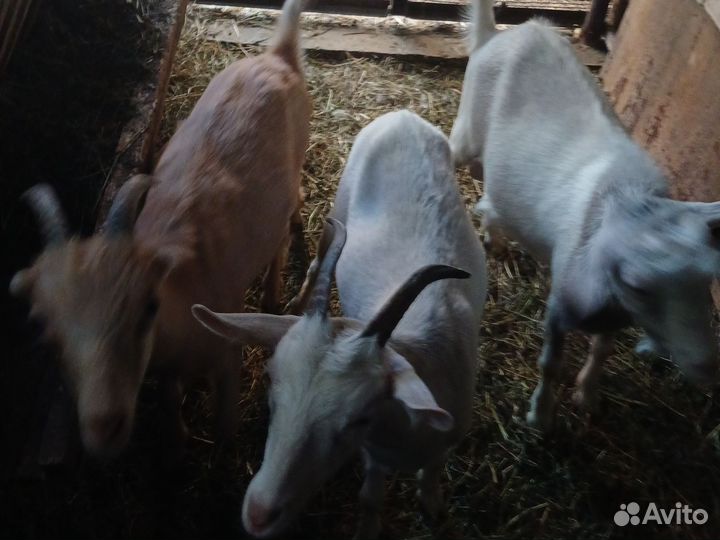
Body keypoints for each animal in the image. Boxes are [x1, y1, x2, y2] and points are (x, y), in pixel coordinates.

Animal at [9, 0, 311, 458]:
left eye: (148, 306)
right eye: (45, 327)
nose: (105, 427)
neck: (182, 290)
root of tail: (279, 54)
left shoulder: (227, 355)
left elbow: (225, 430)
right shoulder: (168, 367)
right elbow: (170, 395)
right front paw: (177, 437)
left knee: (281, 233)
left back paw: (273, 295)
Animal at [193, 110, 487, 539]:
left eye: (359, 417)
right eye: (271, 383)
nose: (259, 515)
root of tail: (403, 115)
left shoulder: (445, 436)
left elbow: (432, 473)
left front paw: (432, 505)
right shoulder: (374, 455)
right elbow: (370, 497)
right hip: (339, 206)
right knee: (319, 256)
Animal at [450, 0, 720, 432]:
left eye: (706, 280)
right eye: (639, 285)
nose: (707, 366)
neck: (627, 196)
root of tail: (499, 33)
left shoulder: (613, 315)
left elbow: (602, 351)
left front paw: (587, 395)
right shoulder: (563, 305)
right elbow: (550, 364)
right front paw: (540, 414)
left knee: (489, 191)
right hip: (468, 128)